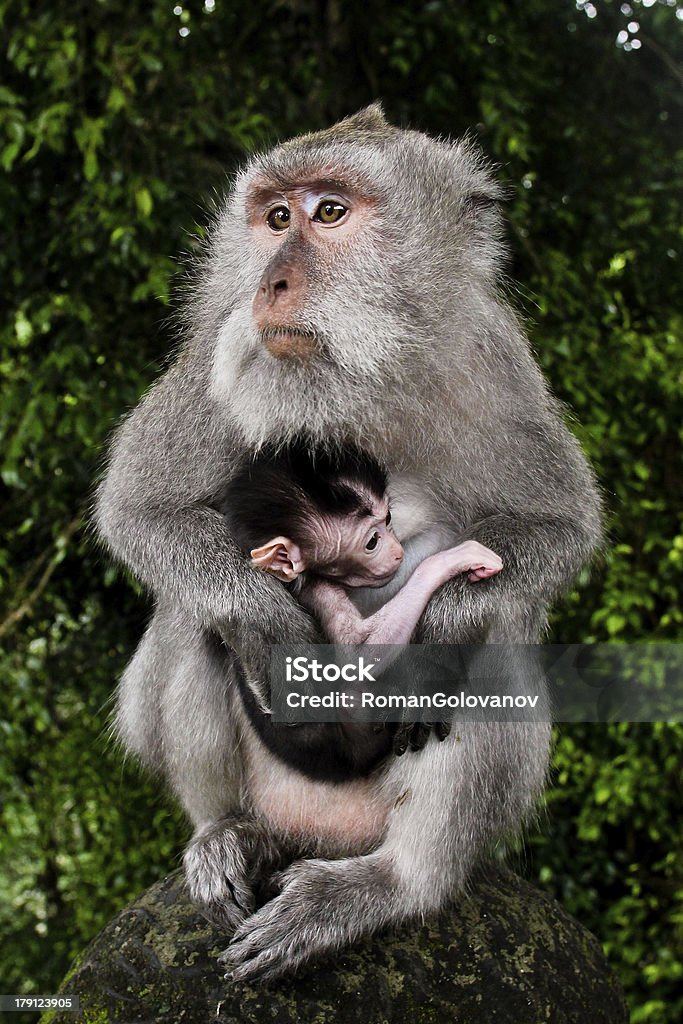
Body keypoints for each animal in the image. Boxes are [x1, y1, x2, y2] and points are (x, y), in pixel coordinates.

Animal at [93, 105, 602, 983]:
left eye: (329, 212)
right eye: (275, 218)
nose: (270, 282)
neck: (359, 373)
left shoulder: (494, 362)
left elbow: (557, 527)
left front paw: (440, 629)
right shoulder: (218, 350)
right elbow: (142, 508)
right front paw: (266, 620)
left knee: (491, 637)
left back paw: (391, 883)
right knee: (197, 619)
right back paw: (228, 831)